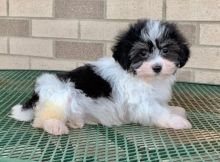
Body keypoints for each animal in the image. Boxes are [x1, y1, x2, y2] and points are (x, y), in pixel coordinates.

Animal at [10, 19, 192, 135]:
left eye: (166, 50)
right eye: (142, 53)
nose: (157, 67)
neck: (144, 77)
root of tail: (38, 93)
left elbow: (164, 107)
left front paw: (177, 110)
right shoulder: (141, 102)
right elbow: (158, 112)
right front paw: (176, 121)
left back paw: (75, 121)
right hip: (61, 94)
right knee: (42, 118)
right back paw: (55, 125)